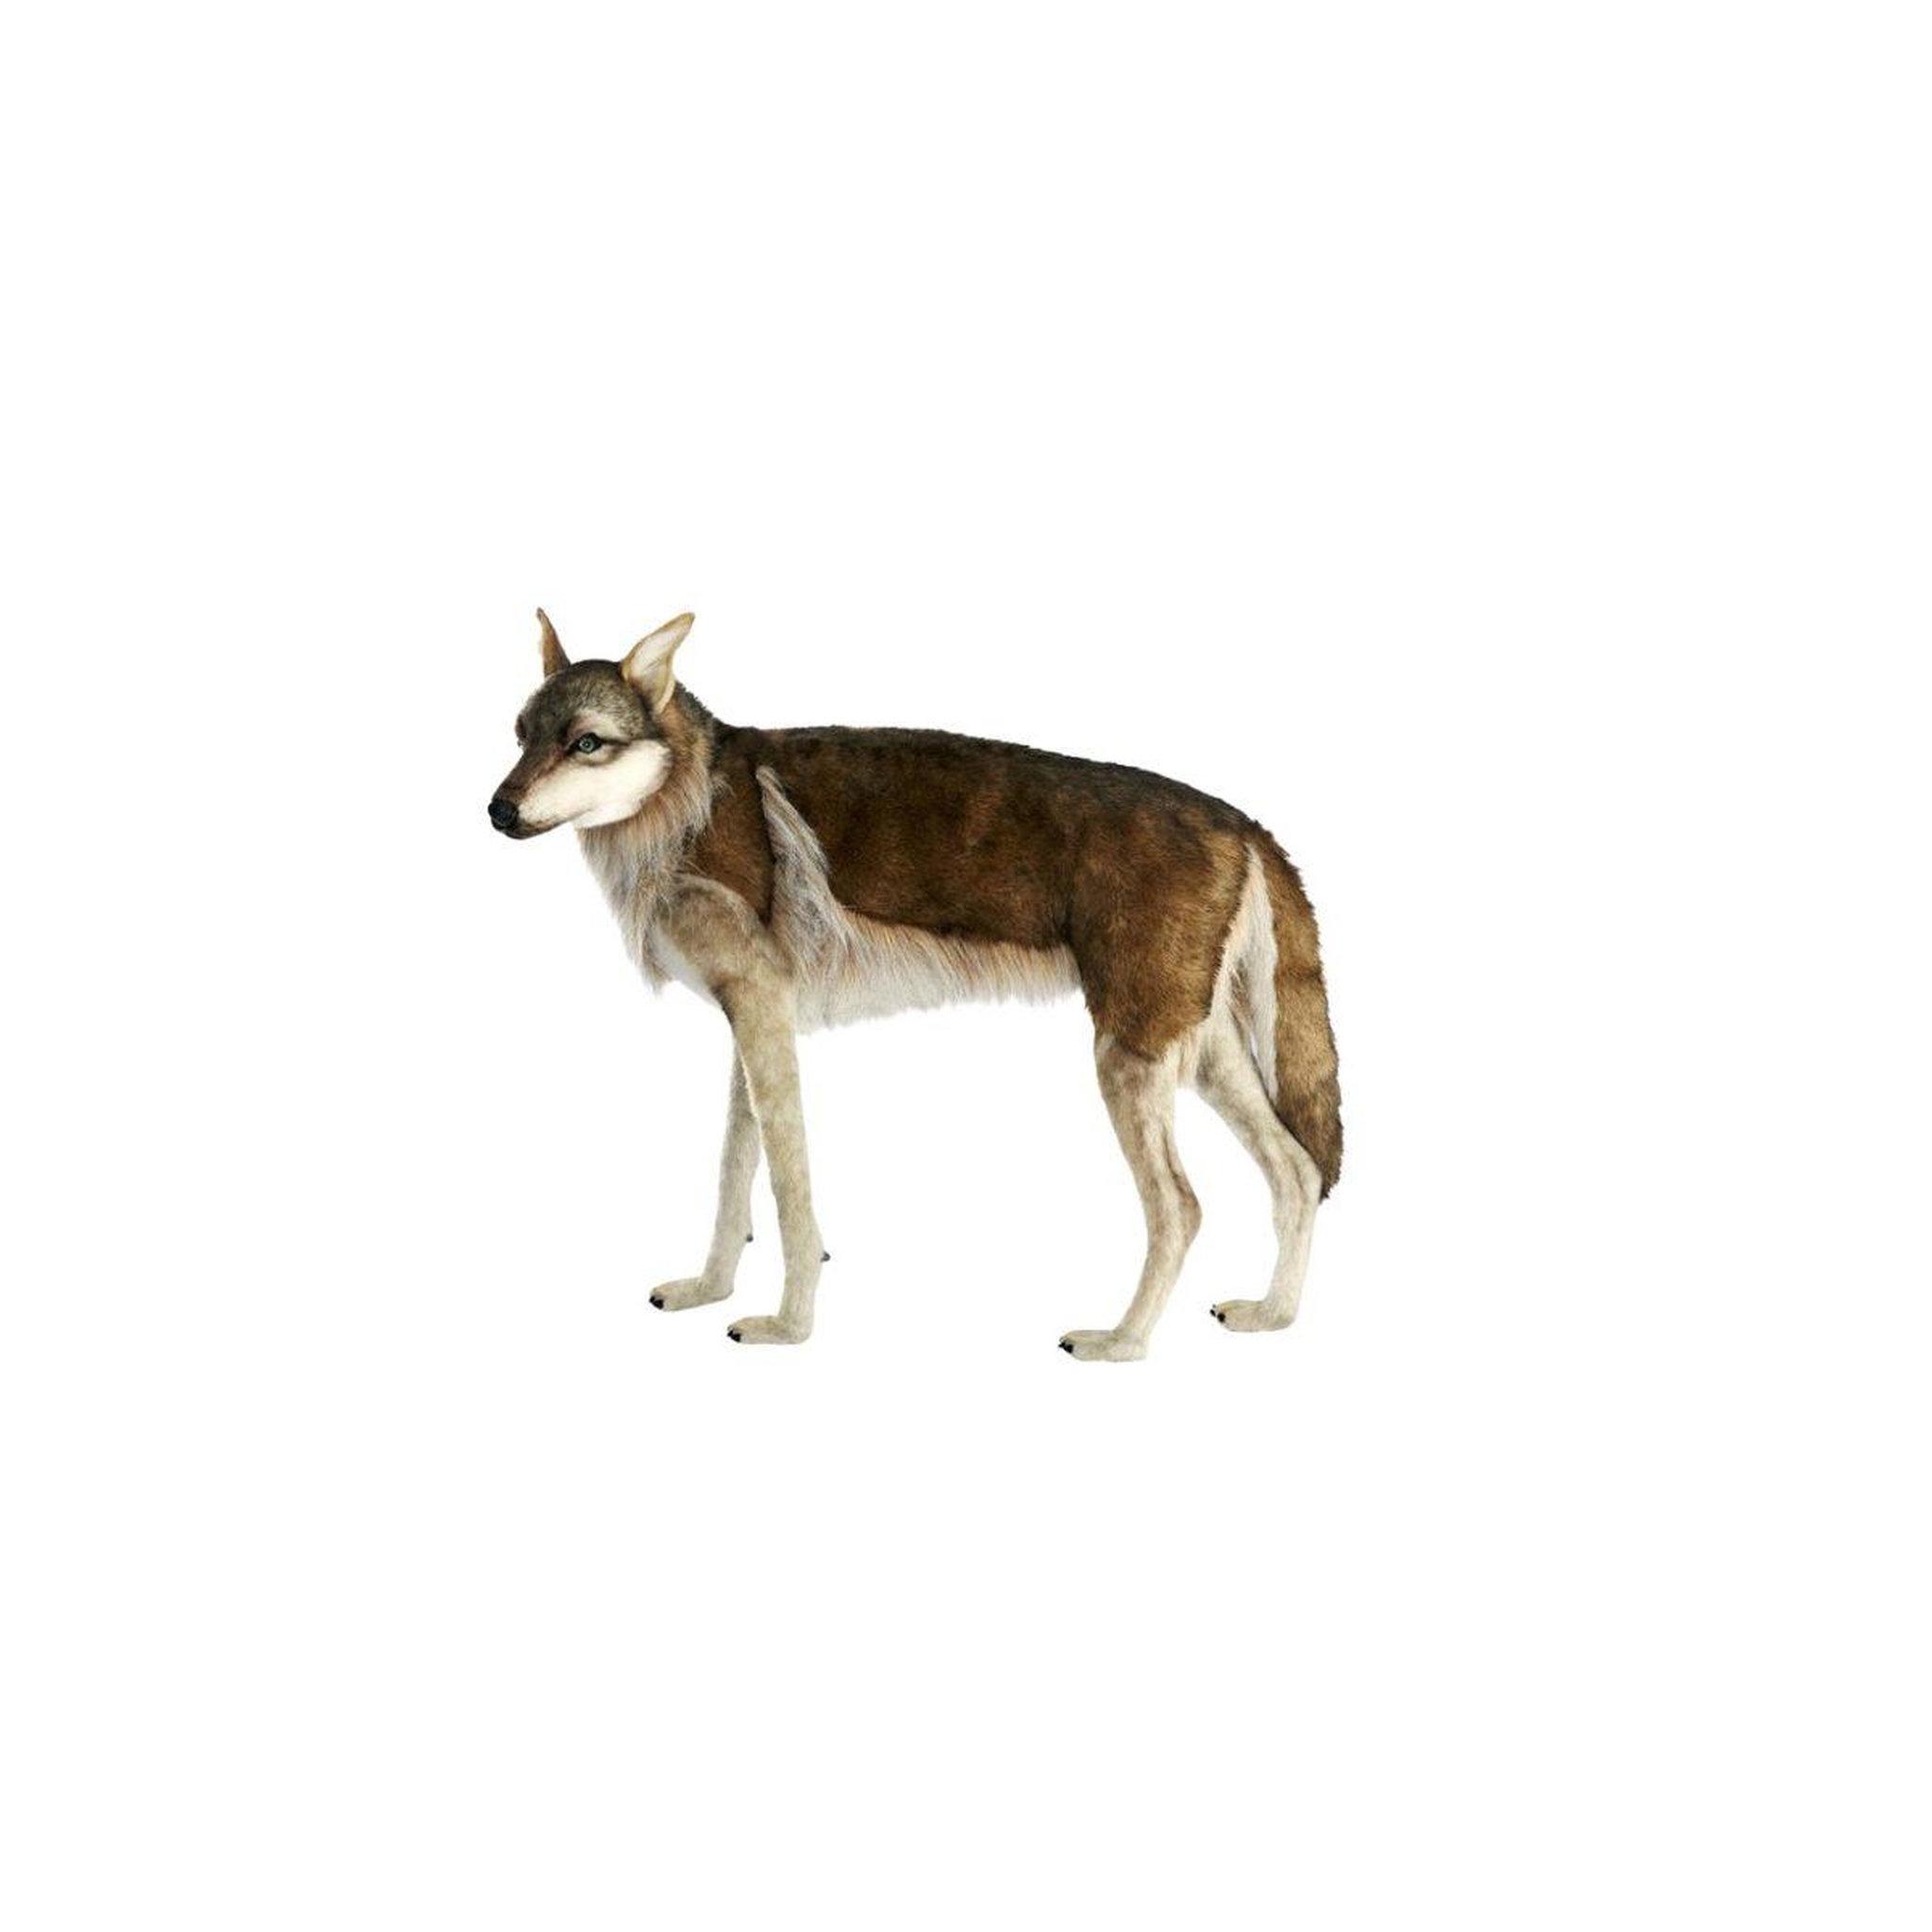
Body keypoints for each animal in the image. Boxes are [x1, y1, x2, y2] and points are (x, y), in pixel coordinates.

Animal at [488, 610, 1342, 1359]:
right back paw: (1273, 1316)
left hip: (1130, 1060)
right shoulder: (753, 1023)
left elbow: (791, 1196)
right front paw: (710, 1290)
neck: (691, 799)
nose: (497, 810)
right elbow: (735, 1180)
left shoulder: (761, 1017)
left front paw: (786, 1328)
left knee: (1183, 1209)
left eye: (585, 743)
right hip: (1199, 1055)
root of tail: (1240, 821)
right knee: (1297, 1171)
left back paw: (1122, 1343)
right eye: (522, 737)